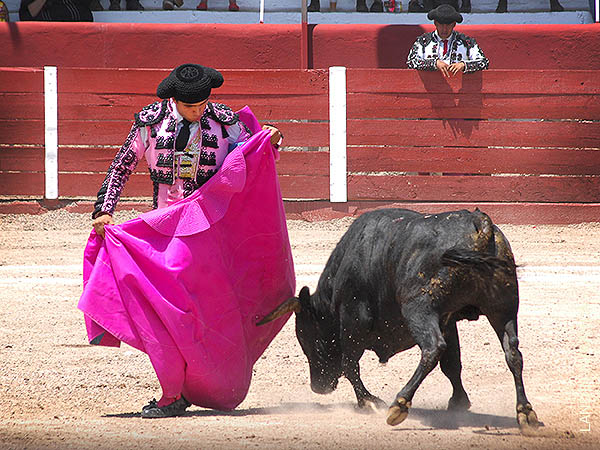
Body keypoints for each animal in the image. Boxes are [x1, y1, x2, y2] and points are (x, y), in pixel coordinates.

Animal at [260, 209, 540, 430]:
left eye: (310, 340)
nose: (318, 387)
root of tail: (479, 224)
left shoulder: (353, 319)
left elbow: (350, 365)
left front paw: (368, 402)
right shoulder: (448, 320)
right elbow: (452, 364)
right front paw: (459, 402)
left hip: (418, 309)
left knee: (432, 348)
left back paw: (399, 404)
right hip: (503, 308)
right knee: (513, 353)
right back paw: (525, 412)